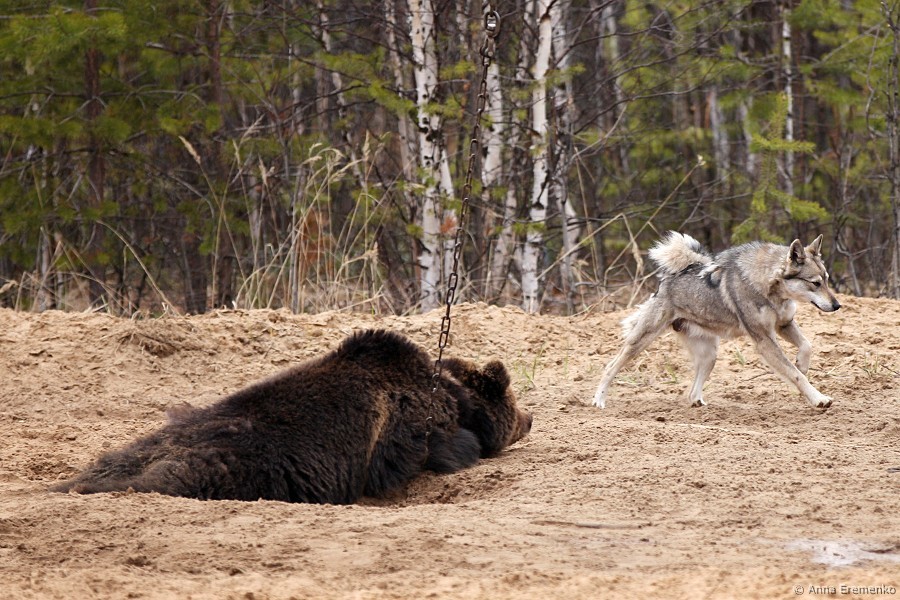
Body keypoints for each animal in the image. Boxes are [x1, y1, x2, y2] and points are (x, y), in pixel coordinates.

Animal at [51, 329, 532, 504]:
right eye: (512, 398)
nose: (530, 419)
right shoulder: (410, 432)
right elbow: (447, 451)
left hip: (148, 441)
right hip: (241, 467)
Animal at [592, 232, 841, 409]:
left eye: (827, 280)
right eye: (815, 283)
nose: (837, 305)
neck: (768, 286)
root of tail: (665, 281)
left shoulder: (783, 325)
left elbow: (807, 346)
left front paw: (803, 364)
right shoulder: (764, 340)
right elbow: (794, 374)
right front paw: (818, 398)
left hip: (710, 355)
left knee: (692, 392)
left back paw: (698, 403)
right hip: (639, 342)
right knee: (610, 367)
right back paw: (598, 400)